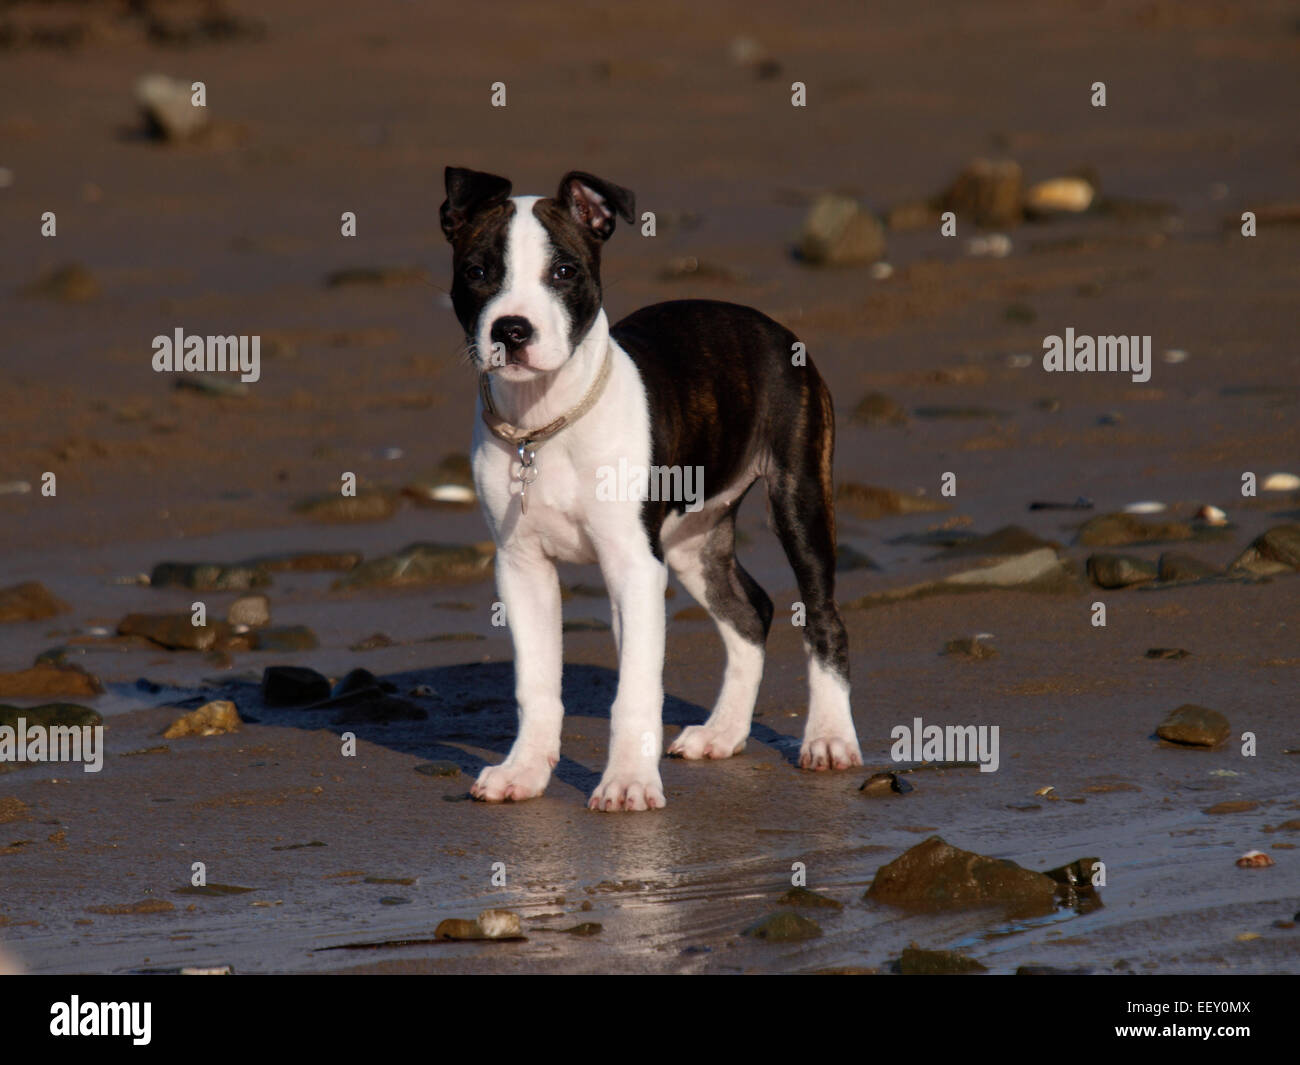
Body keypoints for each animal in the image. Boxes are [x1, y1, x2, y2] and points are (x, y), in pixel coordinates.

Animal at [439, 169, 863, 816]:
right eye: (477, 271)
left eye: (564, 271)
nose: (512, 330)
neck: (545, 422)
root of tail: (765, 322)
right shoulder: (521, 567)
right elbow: (537, 684)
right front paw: (524, 771)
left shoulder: (634, 566)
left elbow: (635, 689)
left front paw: (629, 782)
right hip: (692, 538)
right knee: (751, 610)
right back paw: (724, 732)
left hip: (799, 498)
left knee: (822, 618)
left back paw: (829, 737)